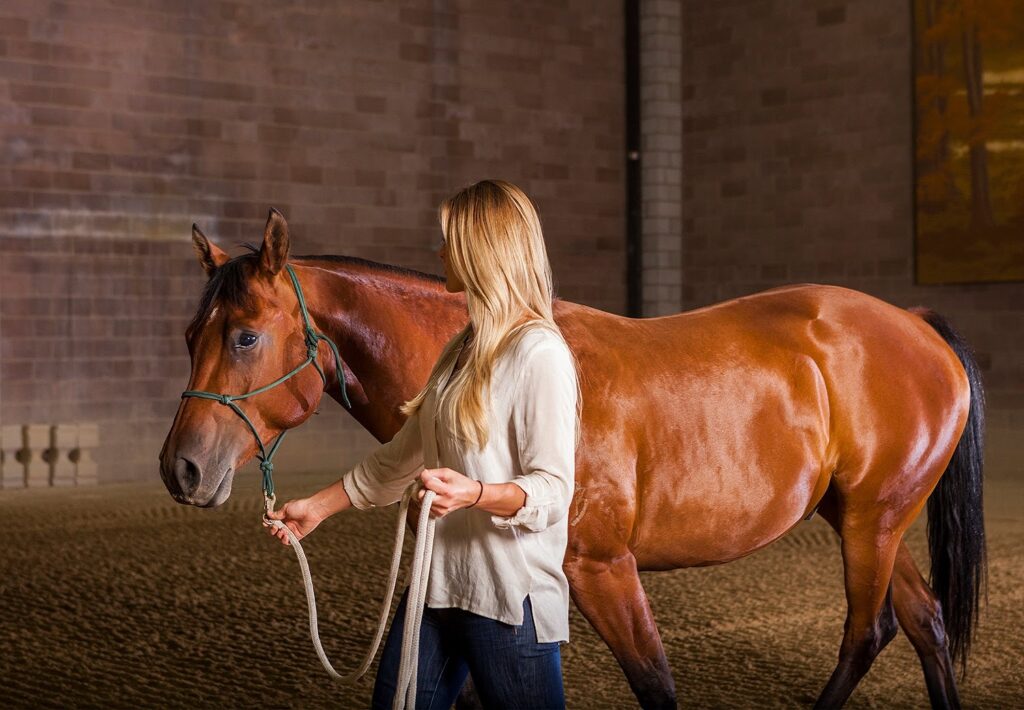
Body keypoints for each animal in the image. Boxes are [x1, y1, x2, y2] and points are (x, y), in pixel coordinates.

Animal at [159, 205, 983, 708]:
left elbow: (654, 682)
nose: (181, 469)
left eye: (245, 336)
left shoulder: (601, 568)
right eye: (191, 333)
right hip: (866, 520)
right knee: (925, 622)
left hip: (872, 522)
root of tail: (916, 325)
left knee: (871, 631)